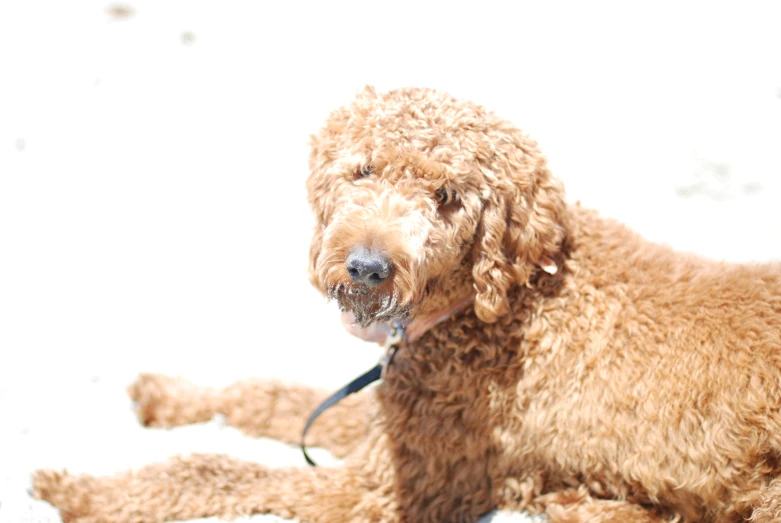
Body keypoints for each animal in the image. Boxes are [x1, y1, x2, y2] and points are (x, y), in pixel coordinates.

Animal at [33, 88, 780, 520]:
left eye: (447, 196)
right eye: (361, 169)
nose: (366, 268)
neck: (492, 307)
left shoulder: (384, 486)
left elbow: (211, 472)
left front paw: (85, 494)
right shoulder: (387, 419)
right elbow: (269, 395)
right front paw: (171, 395)